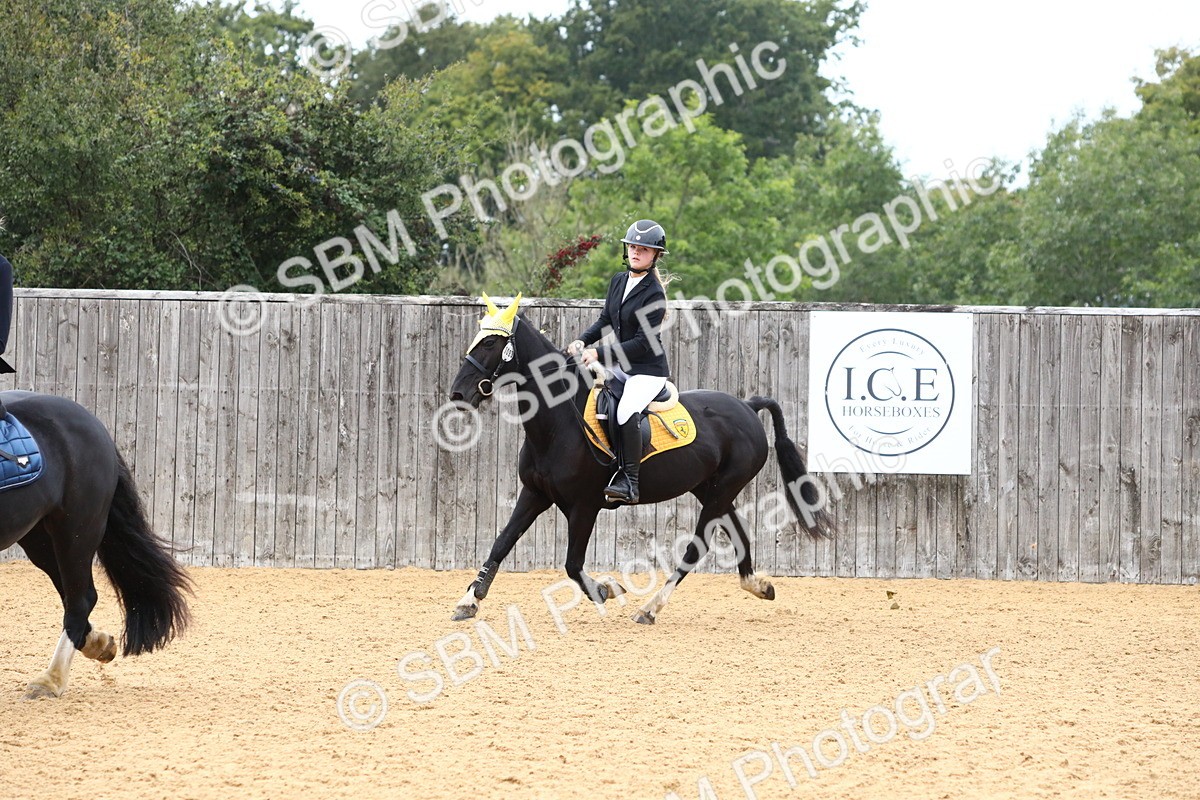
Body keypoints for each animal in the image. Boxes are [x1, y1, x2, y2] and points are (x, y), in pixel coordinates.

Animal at [0, 390, 192, 698]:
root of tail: (95, 425)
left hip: (76, 529)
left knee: (81, 599)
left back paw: (50, 681)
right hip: (39, 537)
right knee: (74, 595)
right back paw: (99, 645)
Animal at [447, 295, 831, 624]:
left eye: (490, 344)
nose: (458, 394)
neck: (559, 423)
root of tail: (748, 407)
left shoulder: (584, 505)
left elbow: (572, 564)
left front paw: (606, 589)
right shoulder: (535, 494)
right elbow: (501, 543)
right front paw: (469, 601)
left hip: (724, 488)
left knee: (697, 547)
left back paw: (650, 608)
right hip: (709, 488)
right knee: (738, 532)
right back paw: (758, 585)